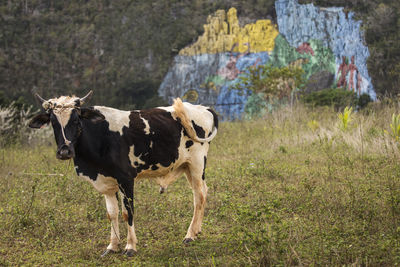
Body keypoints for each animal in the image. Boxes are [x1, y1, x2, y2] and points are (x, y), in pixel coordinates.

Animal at [28, 92, 219, 258]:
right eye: (53, 122)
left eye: (76, 120)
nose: (64, 151)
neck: (100, 136)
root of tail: (202, 107)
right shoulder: (106, 182)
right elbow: (112, 214)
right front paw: (112, 246)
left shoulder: (126, 180)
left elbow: (128, 212)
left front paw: (130, 246)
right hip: (187, 167)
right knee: (203, 192)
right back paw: (196, 230)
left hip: (196, 164)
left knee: (199, 196)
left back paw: (190, 235)